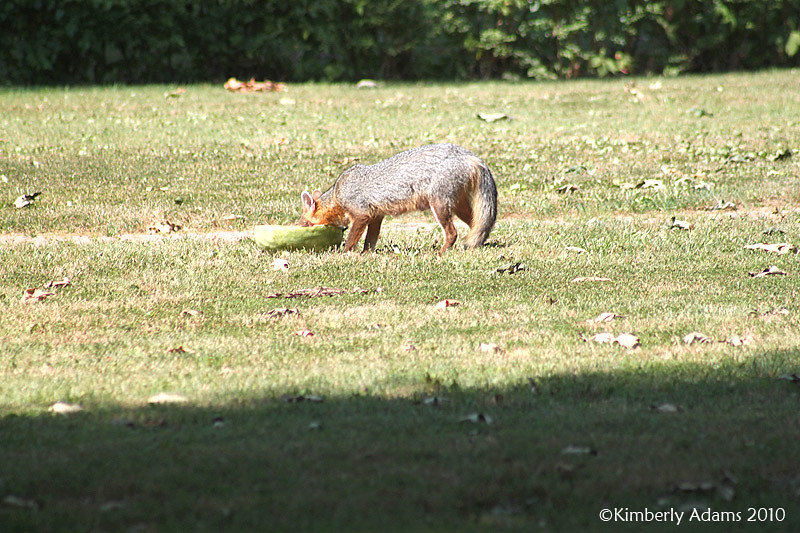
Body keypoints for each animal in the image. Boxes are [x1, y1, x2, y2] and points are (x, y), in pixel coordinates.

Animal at [299, 143, 497, 254]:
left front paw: (343, 254)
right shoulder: (376, 217)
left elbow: (350, 240)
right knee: (478, 226)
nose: (298, 228)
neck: (337, 193)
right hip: (458, 207)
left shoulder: (361, 214)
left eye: (305, 224)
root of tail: (469, 155)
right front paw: (366, 255)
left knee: (452, 233)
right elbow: (370, 241)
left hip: (439, 206)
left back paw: (440, 253)